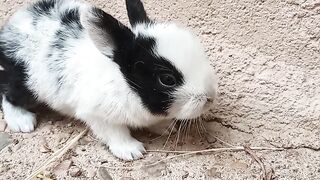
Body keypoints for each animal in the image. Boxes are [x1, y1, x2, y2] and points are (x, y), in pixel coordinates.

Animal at [0, 0, 218, 160]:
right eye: (167, 79)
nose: (210, 98)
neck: (124, 84)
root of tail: (9, 29)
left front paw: (166, 127)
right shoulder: (96, 115)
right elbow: (115, 133)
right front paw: (132, 151)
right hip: (25, 85)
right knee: (8, 96)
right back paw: (22, 122)